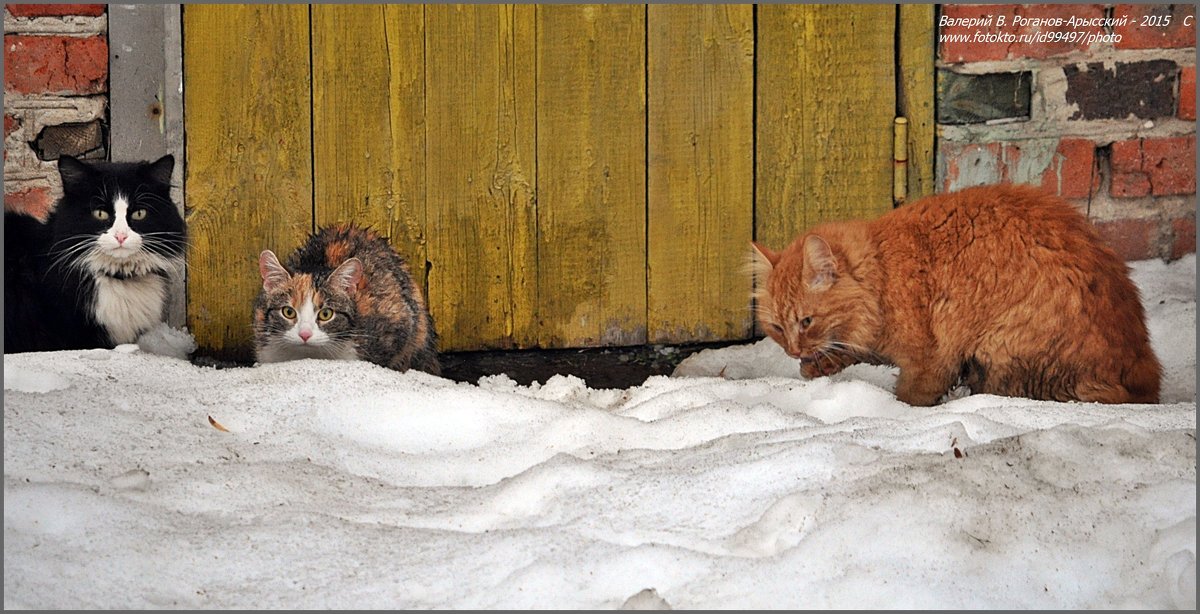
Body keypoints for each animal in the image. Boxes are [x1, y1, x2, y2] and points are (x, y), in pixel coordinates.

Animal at [748, 184, 1161, 405]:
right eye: (777, 328)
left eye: (806, 321)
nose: (793, 351)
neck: (883, 270)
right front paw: (819, 365)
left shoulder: (931, 357)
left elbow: (912, 393)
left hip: (1001, 349)